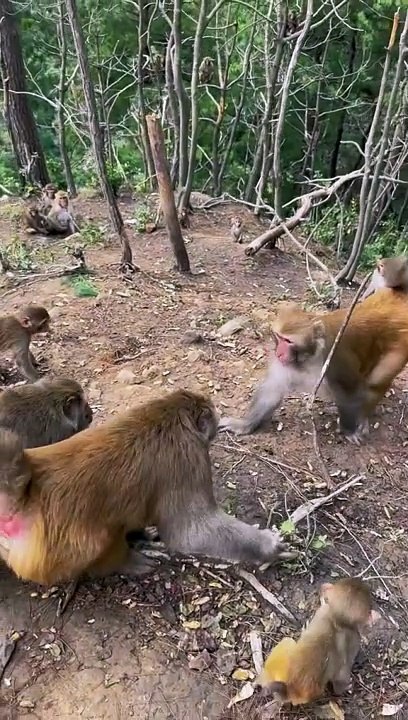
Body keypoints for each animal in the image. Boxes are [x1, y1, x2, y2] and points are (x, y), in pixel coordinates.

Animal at [0, 390, 290, 587]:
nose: (215, 426)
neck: (171, 413)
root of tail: (28, 492)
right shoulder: (189, 456)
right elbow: (191, 532)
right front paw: (266, 544)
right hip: (62, 551)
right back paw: (124, 561)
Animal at [219, 288, 408, 444]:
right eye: (278, 337)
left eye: (288, 341)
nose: (279, 353)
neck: (310, 356)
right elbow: (273, 389)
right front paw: (244, 424)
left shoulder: (336, 360)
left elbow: (351, 391)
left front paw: (349, 430)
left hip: (400, 345)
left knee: (376, 380)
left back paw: (363, 415)